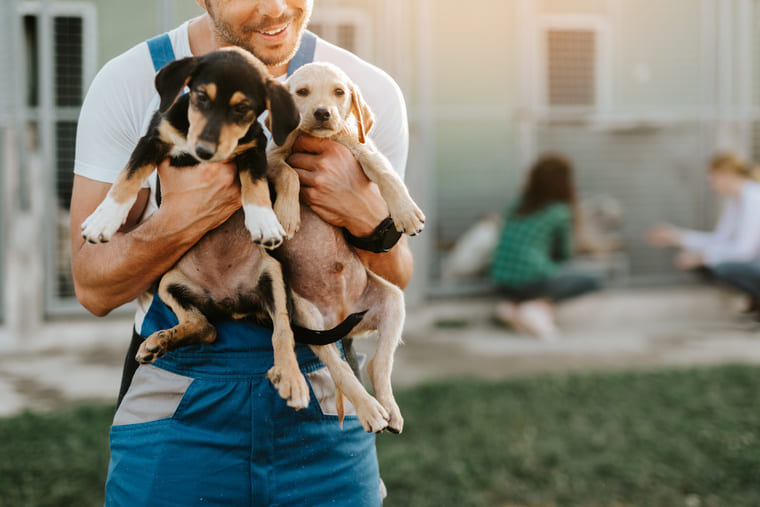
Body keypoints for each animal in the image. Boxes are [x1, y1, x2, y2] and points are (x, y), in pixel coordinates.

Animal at [81, 48, 320, 408]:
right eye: (201, 97)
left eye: (242, 109)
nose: (204, 151)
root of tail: (232, 305)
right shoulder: (153, 140)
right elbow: (127, 177)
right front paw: (103, 219)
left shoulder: (252, 149)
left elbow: (255, 185)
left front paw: (263, 220)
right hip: (170, 283)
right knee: (205, 327)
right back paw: (161, 340)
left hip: (274, 277)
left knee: (282, 331)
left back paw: (291, 377)